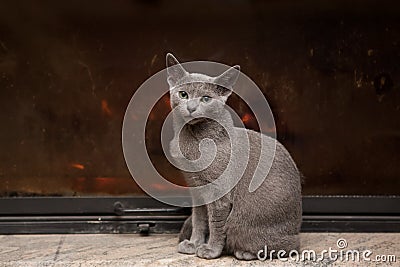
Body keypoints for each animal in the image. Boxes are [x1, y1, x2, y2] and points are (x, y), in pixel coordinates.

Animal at [165, 53, 300, 260]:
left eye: (206, 98)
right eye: (183, 94)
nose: (191, 107)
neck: (192, 136)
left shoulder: (219, 192)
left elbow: (215, 224)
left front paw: (211, 250)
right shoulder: (196, 188)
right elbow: (199, 219)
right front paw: (194, 244)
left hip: (242, 223)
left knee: (289, 247)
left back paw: (244, 252)